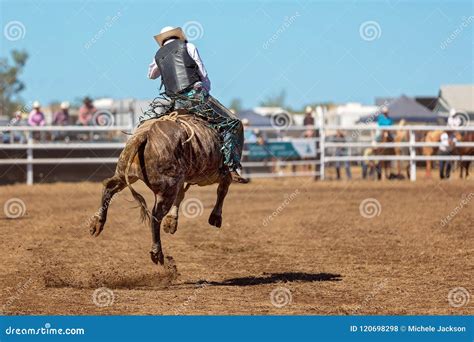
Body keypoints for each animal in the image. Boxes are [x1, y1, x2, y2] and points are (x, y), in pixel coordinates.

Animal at [88, 111, 241, 264]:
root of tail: (146, 135)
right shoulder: (218, 173)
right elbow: (222, 189)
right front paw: (215, 217)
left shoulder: (183, 178)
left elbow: (182, 195)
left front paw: (171, 221)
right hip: (167, 188)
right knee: (156, 215)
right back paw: (157, 252)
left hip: (124, 172)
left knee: (109, 187)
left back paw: (97, 222)